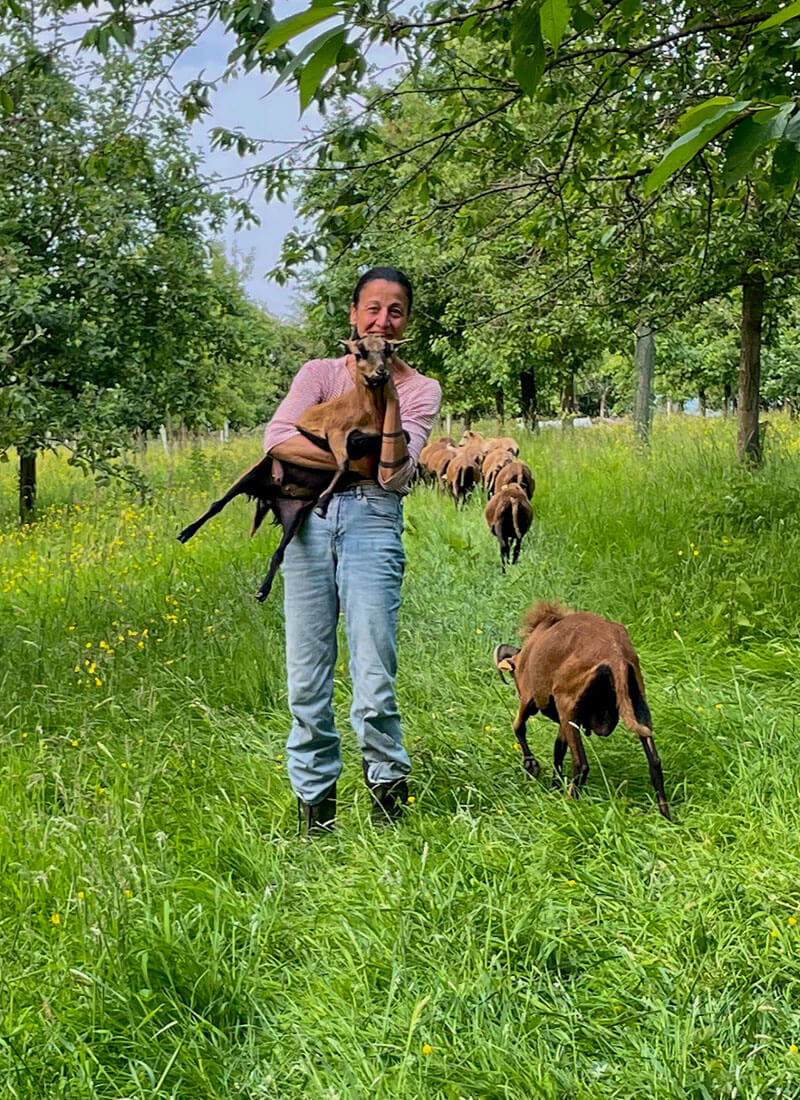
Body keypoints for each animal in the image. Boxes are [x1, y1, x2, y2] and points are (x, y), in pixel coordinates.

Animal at [493, 601, 670, 818]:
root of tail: (615, 655)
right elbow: (558, 749)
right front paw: (554, 785)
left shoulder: (530, 698)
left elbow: (518, 726)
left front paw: (532, 766)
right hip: (637, 701)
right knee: (654, 761)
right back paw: (667, 817)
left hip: (567, 704)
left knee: (581, 764)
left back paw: (569, 803)